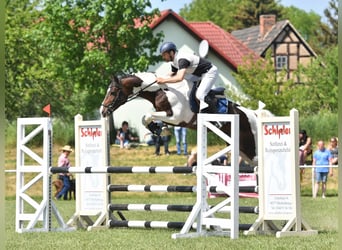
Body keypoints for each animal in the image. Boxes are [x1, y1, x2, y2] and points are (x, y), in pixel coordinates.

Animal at [100, 72, 260, 164]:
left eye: (113, 92)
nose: (102, 111)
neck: (161, 91)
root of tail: (253, 115)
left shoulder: (176, 117)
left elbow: (147, 115)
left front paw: (158, 130)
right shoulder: (165, 115)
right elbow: (147, 118)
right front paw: (158, 129)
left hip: (250, 147)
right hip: (240, 148)